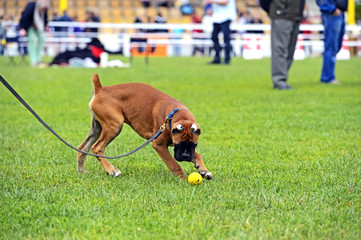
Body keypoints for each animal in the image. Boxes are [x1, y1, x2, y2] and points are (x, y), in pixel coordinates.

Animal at [76, 73, 211, 180]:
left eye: (194, 145)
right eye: (180, 144)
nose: (186, 157)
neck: (176, 114)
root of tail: (101, 89)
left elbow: (197, 154)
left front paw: (203, 170)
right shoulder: (159, 145)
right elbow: (174, 164)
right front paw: (183, 178)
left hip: (97, 128)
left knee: (83, 148)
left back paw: (82, 171)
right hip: (114, 126)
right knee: (97, 147)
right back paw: (112, 170)